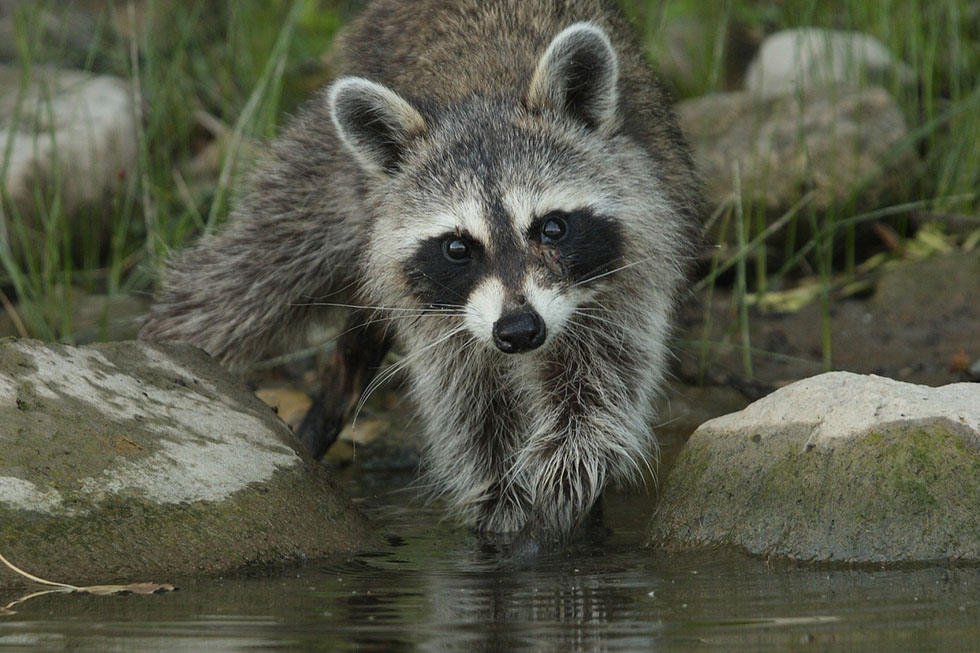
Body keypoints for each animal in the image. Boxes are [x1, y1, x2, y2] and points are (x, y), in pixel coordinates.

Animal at [142, 0, 700, 552]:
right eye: (457, 247)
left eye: (552, 228)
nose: (519, 332)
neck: (486, 91)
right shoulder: (438, 318)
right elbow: (469, 410)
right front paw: (501, 505)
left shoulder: (633, 265)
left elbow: (601, 386)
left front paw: (562, 482)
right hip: (326, 173)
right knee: (244, 277)